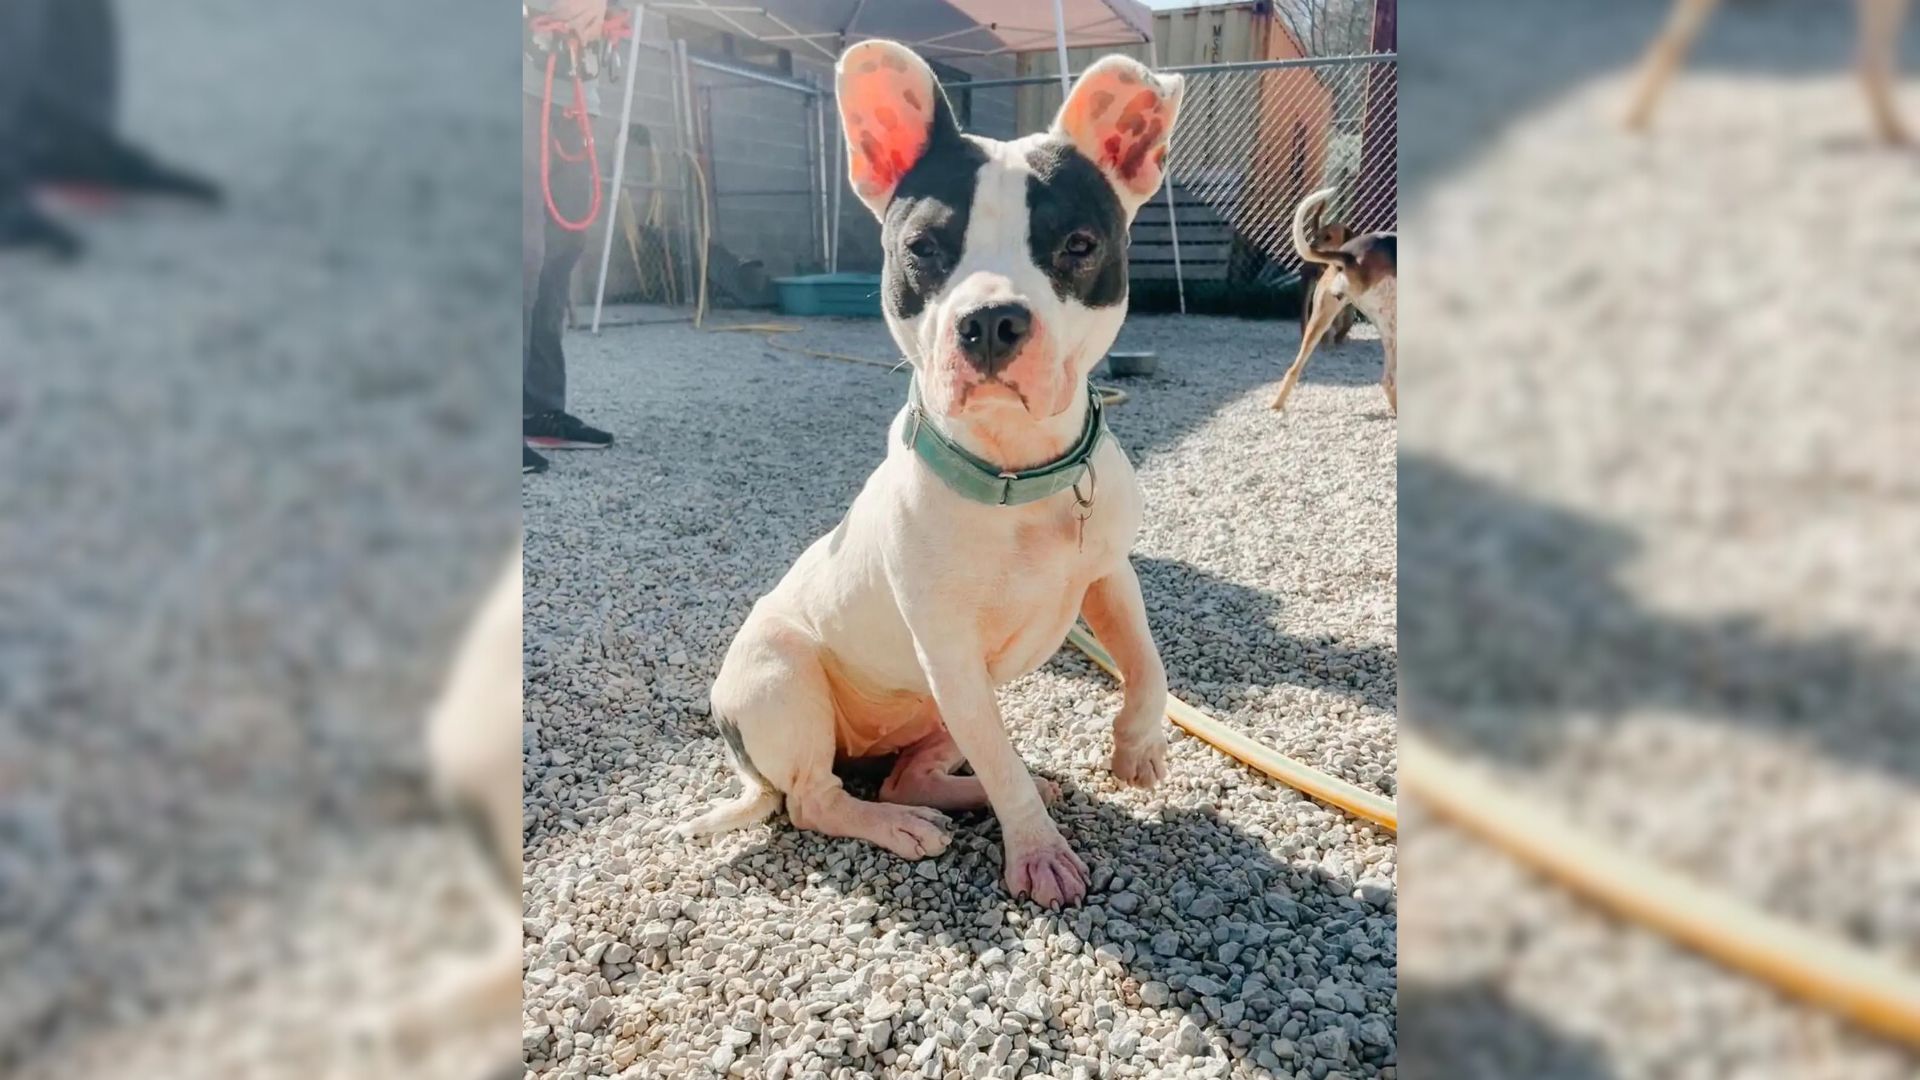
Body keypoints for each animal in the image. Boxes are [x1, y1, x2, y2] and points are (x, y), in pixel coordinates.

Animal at [675, 37, 1182, 903]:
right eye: (923, 250)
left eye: (1079, 246)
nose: (991, 320)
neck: (1015, 473)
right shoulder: (949, 652)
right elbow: (1003, 761)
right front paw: (1038, 854)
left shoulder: (1109, 573)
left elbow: (1147, 664)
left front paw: (1137, 747)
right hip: (785, 680)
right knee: (816, 797)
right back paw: (900, 825)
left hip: (935, 709)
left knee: (910, 771)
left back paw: (964, 792)